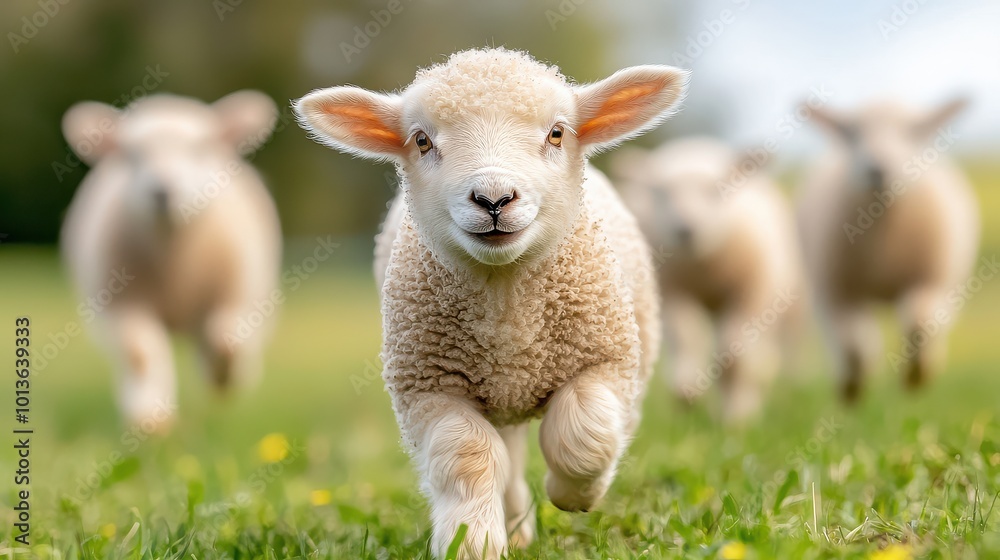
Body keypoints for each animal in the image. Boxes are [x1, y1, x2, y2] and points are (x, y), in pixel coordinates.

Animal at [60, 91, 282, 429]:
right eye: (132, 155)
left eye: (199, 149)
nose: (162, 191)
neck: (174, 259)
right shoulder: (121, 305)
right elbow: (140, 352)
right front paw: (151, 417)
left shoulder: (236, 296)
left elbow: (227, 341)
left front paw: (224, 380)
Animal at [295, 47, 688, 559]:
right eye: (421, 141)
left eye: (557, 133)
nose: (494, 198)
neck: (507, 306)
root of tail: (512, 377)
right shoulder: (428, 387)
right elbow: (469, 456)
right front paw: (472, 541)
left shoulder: (608, 360)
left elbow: (583, 435)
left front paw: (574, 496)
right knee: (507, 457)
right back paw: (516, 528)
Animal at [611, 137, 804, 422]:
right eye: (662, 193)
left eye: (714, 191)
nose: (686, 230)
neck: (703, 265)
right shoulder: (671, 292)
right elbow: (686, 337)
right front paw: (687, 392)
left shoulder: (749, 292)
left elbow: (734, 350)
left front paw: (736, 414)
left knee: (763, 355)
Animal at [797, 99, 979, 400]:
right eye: (853, 133)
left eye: (910, 133)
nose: (877, 169)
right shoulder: (836, 292)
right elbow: (853, 344)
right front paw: (852, 388)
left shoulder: (933, 281)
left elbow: (920, 322)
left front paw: (917, 376)